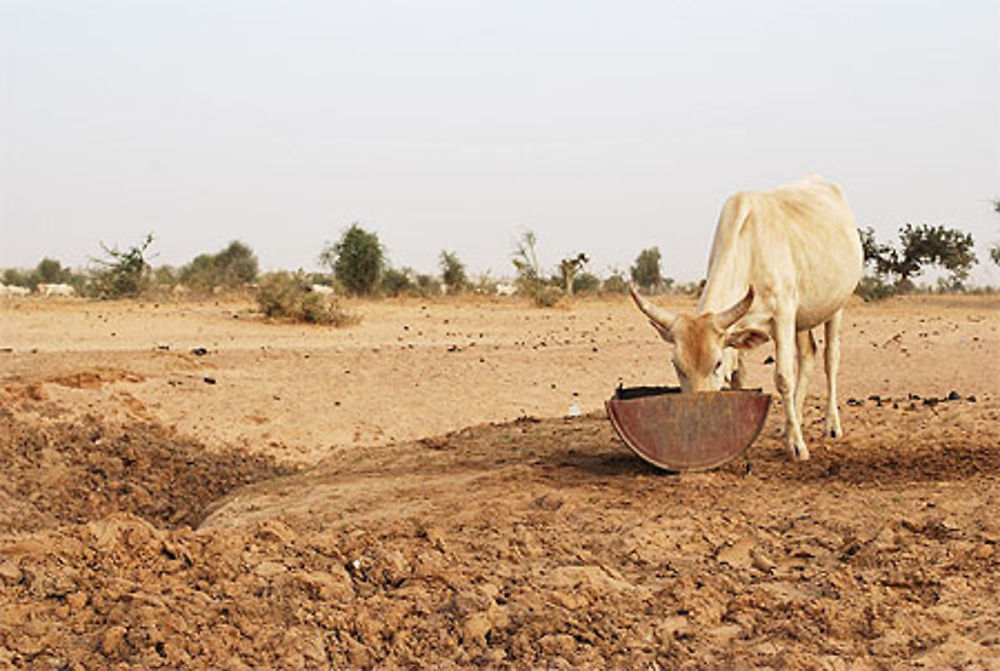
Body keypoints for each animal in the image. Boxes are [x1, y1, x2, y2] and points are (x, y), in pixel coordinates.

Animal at [628, 176, 864, 462]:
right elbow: (740, 380)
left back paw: (831, 424)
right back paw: (790, 424)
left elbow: (783, 377)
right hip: (802, 317)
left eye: (717, 364)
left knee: (831, 359)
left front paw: (797, 446)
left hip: (836, 306)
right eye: (676, 364)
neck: (751, 250)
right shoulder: (741, 331)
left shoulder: (783, 316)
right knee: (808, 354)